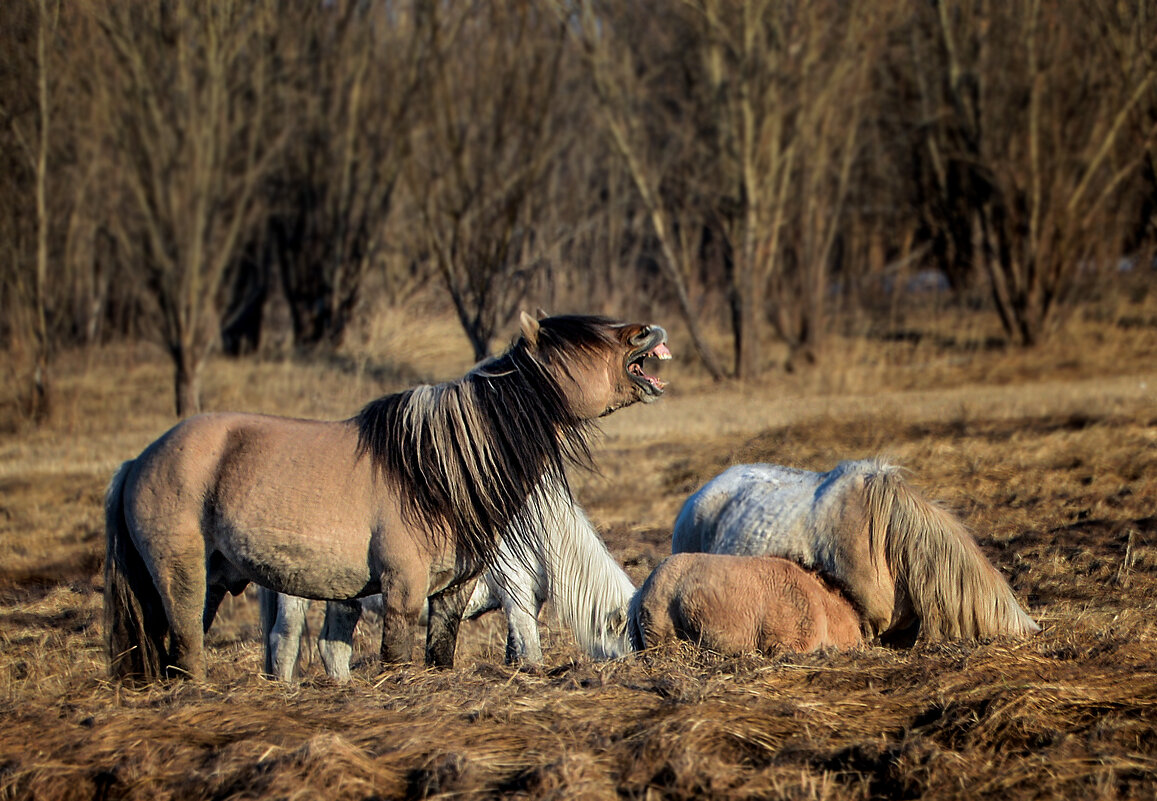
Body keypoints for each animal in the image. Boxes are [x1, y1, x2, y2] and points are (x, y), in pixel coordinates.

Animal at [259, 479, 638, 680]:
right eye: (631, 640)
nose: (643, 667)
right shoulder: (516, 594)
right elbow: (532, 652)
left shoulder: (524, 601)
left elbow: (514, 649)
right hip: (294, 595)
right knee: (285, 642)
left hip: (343, 599)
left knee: (330, 648)